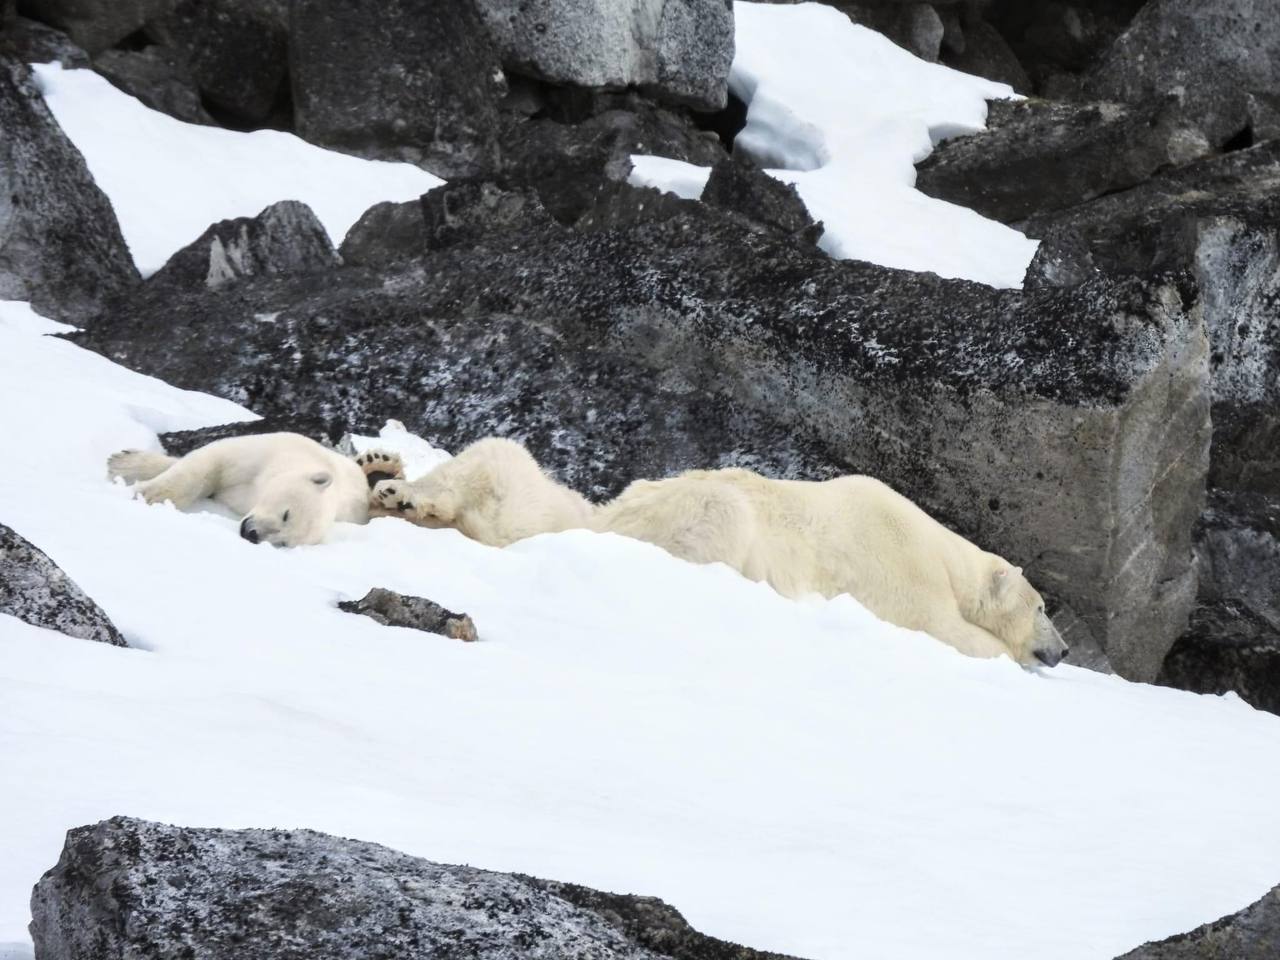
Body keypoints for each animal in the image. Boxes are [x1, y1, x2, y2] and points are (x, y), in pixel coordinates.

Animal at [110, 435, 381, 547]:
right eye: (287, 514)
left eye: (283, 542)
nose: (252, 534)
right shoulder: (262, 452)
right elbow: (208, 463)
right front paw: (142, 488)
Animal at [596, 468, 1070, 670]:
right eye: (1041, 609)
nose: (1064, 650)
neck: (944, 558)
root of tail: (615, 514)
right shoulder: (903, 572)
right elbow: (946, 629)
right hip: (707, 509)